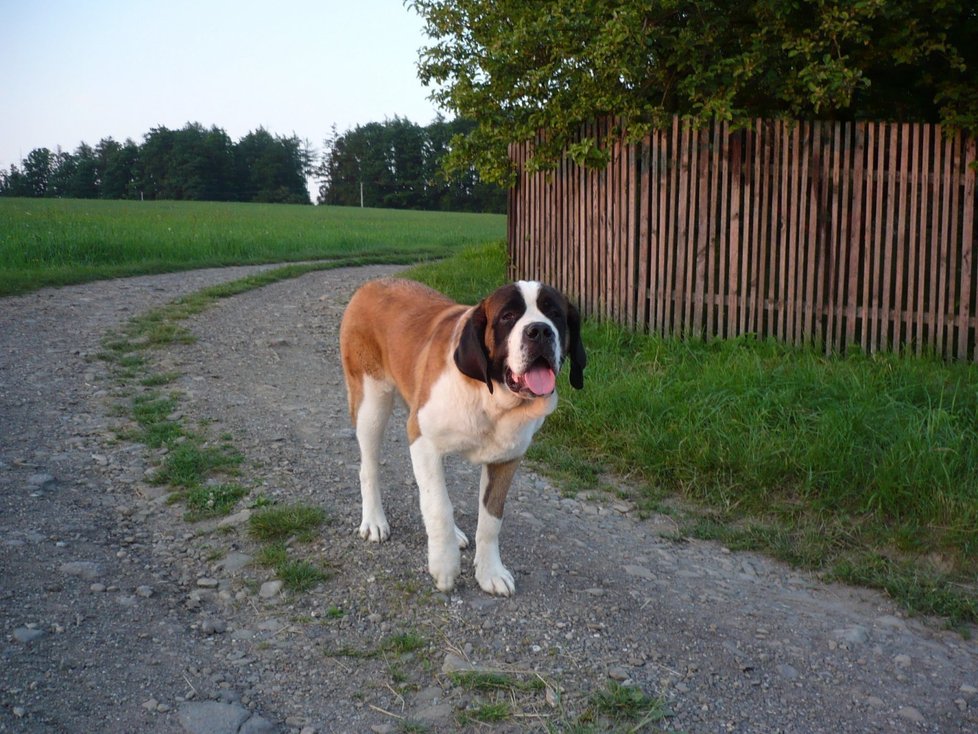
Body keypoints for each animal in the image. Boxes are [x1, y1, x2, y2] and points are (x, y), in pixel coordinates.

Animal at [340, 278, 584, 596]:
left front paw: (490, 571)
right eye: (507, 317)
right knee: (369, 468)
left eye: (554, 314)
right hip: (372, 403)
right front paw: (445, 566)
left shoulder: (506, 460)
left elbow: (490, 519)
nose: (540, 330)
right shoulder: (424, 440)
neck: (491, 397)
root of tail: (373, 283)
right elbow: (439, 506)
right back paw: (374, 521)